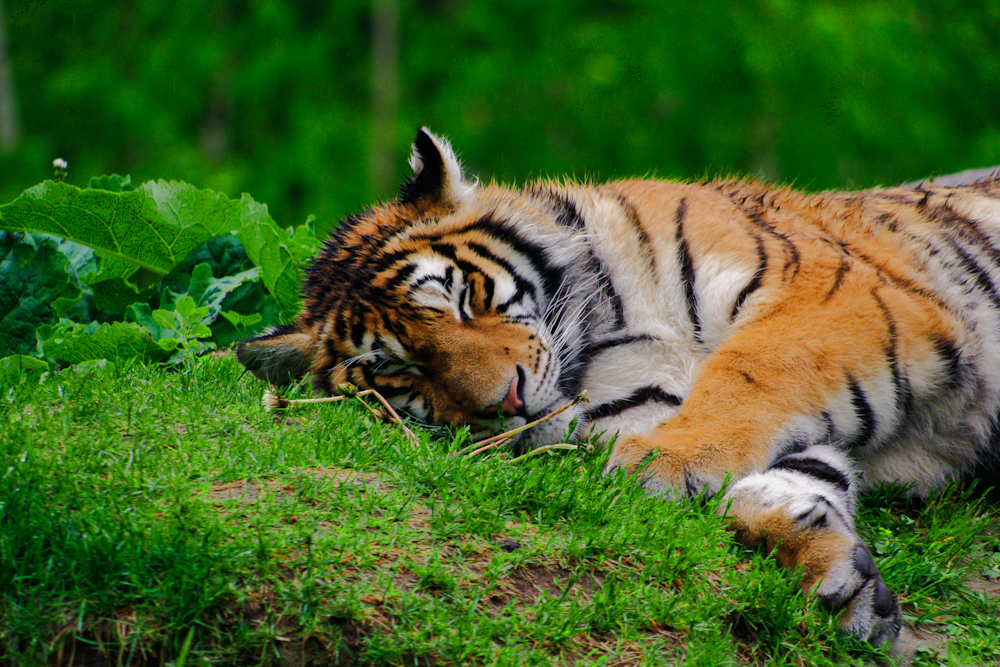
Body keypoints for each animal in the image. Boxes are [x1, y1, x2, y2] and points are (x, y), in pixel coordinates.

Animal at [238, 129, 1000, 648]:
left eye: (463, 301)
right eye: (403, 371)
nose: (505, 401)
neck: (605, 329)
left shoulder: (834, 295)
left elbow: (754, 370)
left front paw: (666, 462)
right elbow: (782, 479)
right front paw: (836, 575)